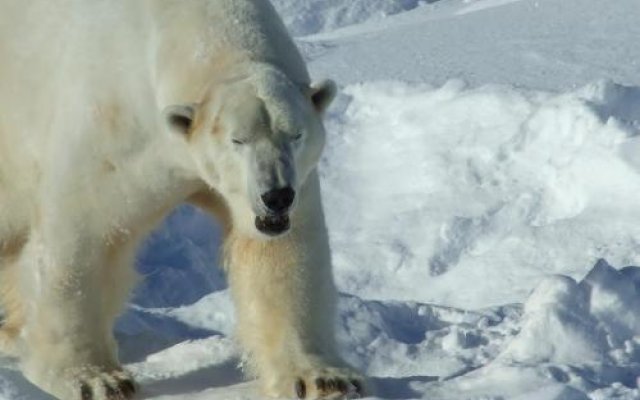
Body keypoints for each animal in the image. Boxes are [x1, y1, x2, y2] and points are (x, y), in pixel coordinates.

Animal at [0, 0, 364, 400]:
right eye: (238, 140)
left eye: (295, 134)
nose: (277, 196)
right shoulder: (115, 129)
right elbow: (83, 236)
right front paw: (95, 378)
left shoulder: (293, 180)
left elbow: (284, 251)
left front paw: (322, 377)